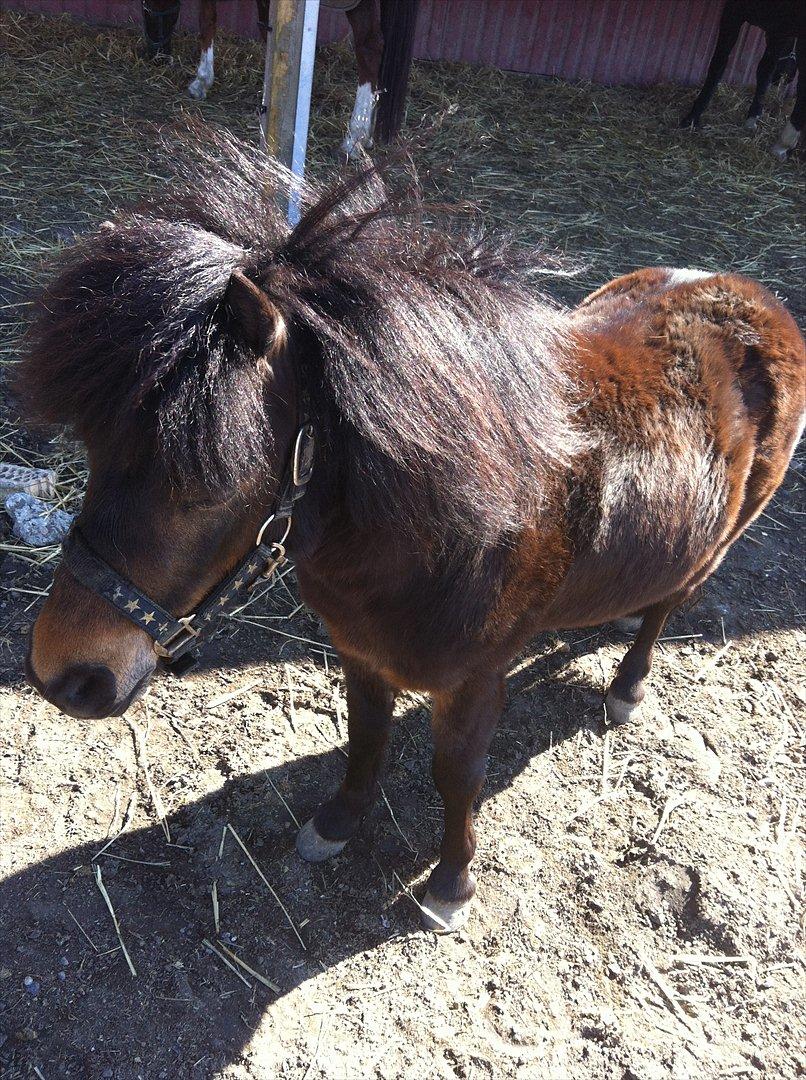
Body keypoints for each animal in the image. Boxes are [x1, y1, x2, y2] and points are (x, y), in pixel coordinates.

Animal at [20, 132, 803, 928]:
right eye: (93, 449)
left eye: (205, 479)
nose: (65, 677)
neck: (448, 533)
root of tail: (755, 295)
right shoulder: (361, 651)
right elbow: (365, 736)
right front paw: (337, 823)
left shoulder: (471, 680)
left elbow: (457, 774)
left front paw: (451, 883)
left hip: (721, 539)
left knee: (668, 604)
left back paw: (628, 687)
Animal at [141, 0, 417, 153]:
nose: (156, 55)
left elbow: (209, 17)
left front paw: (202, 80)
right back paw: (367, 134)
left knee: (369, 47)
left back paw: (354, 137)